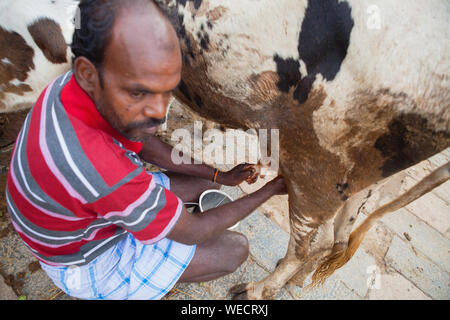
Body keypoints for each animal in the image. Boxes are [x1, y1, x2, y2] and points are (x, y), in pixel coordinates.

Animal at [0, 0, 450, 300]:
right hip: (356, 179)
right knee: (335, 237)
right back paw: (293, 280)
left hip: (320, 165)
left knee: (311, 242)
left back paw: (257, 289)